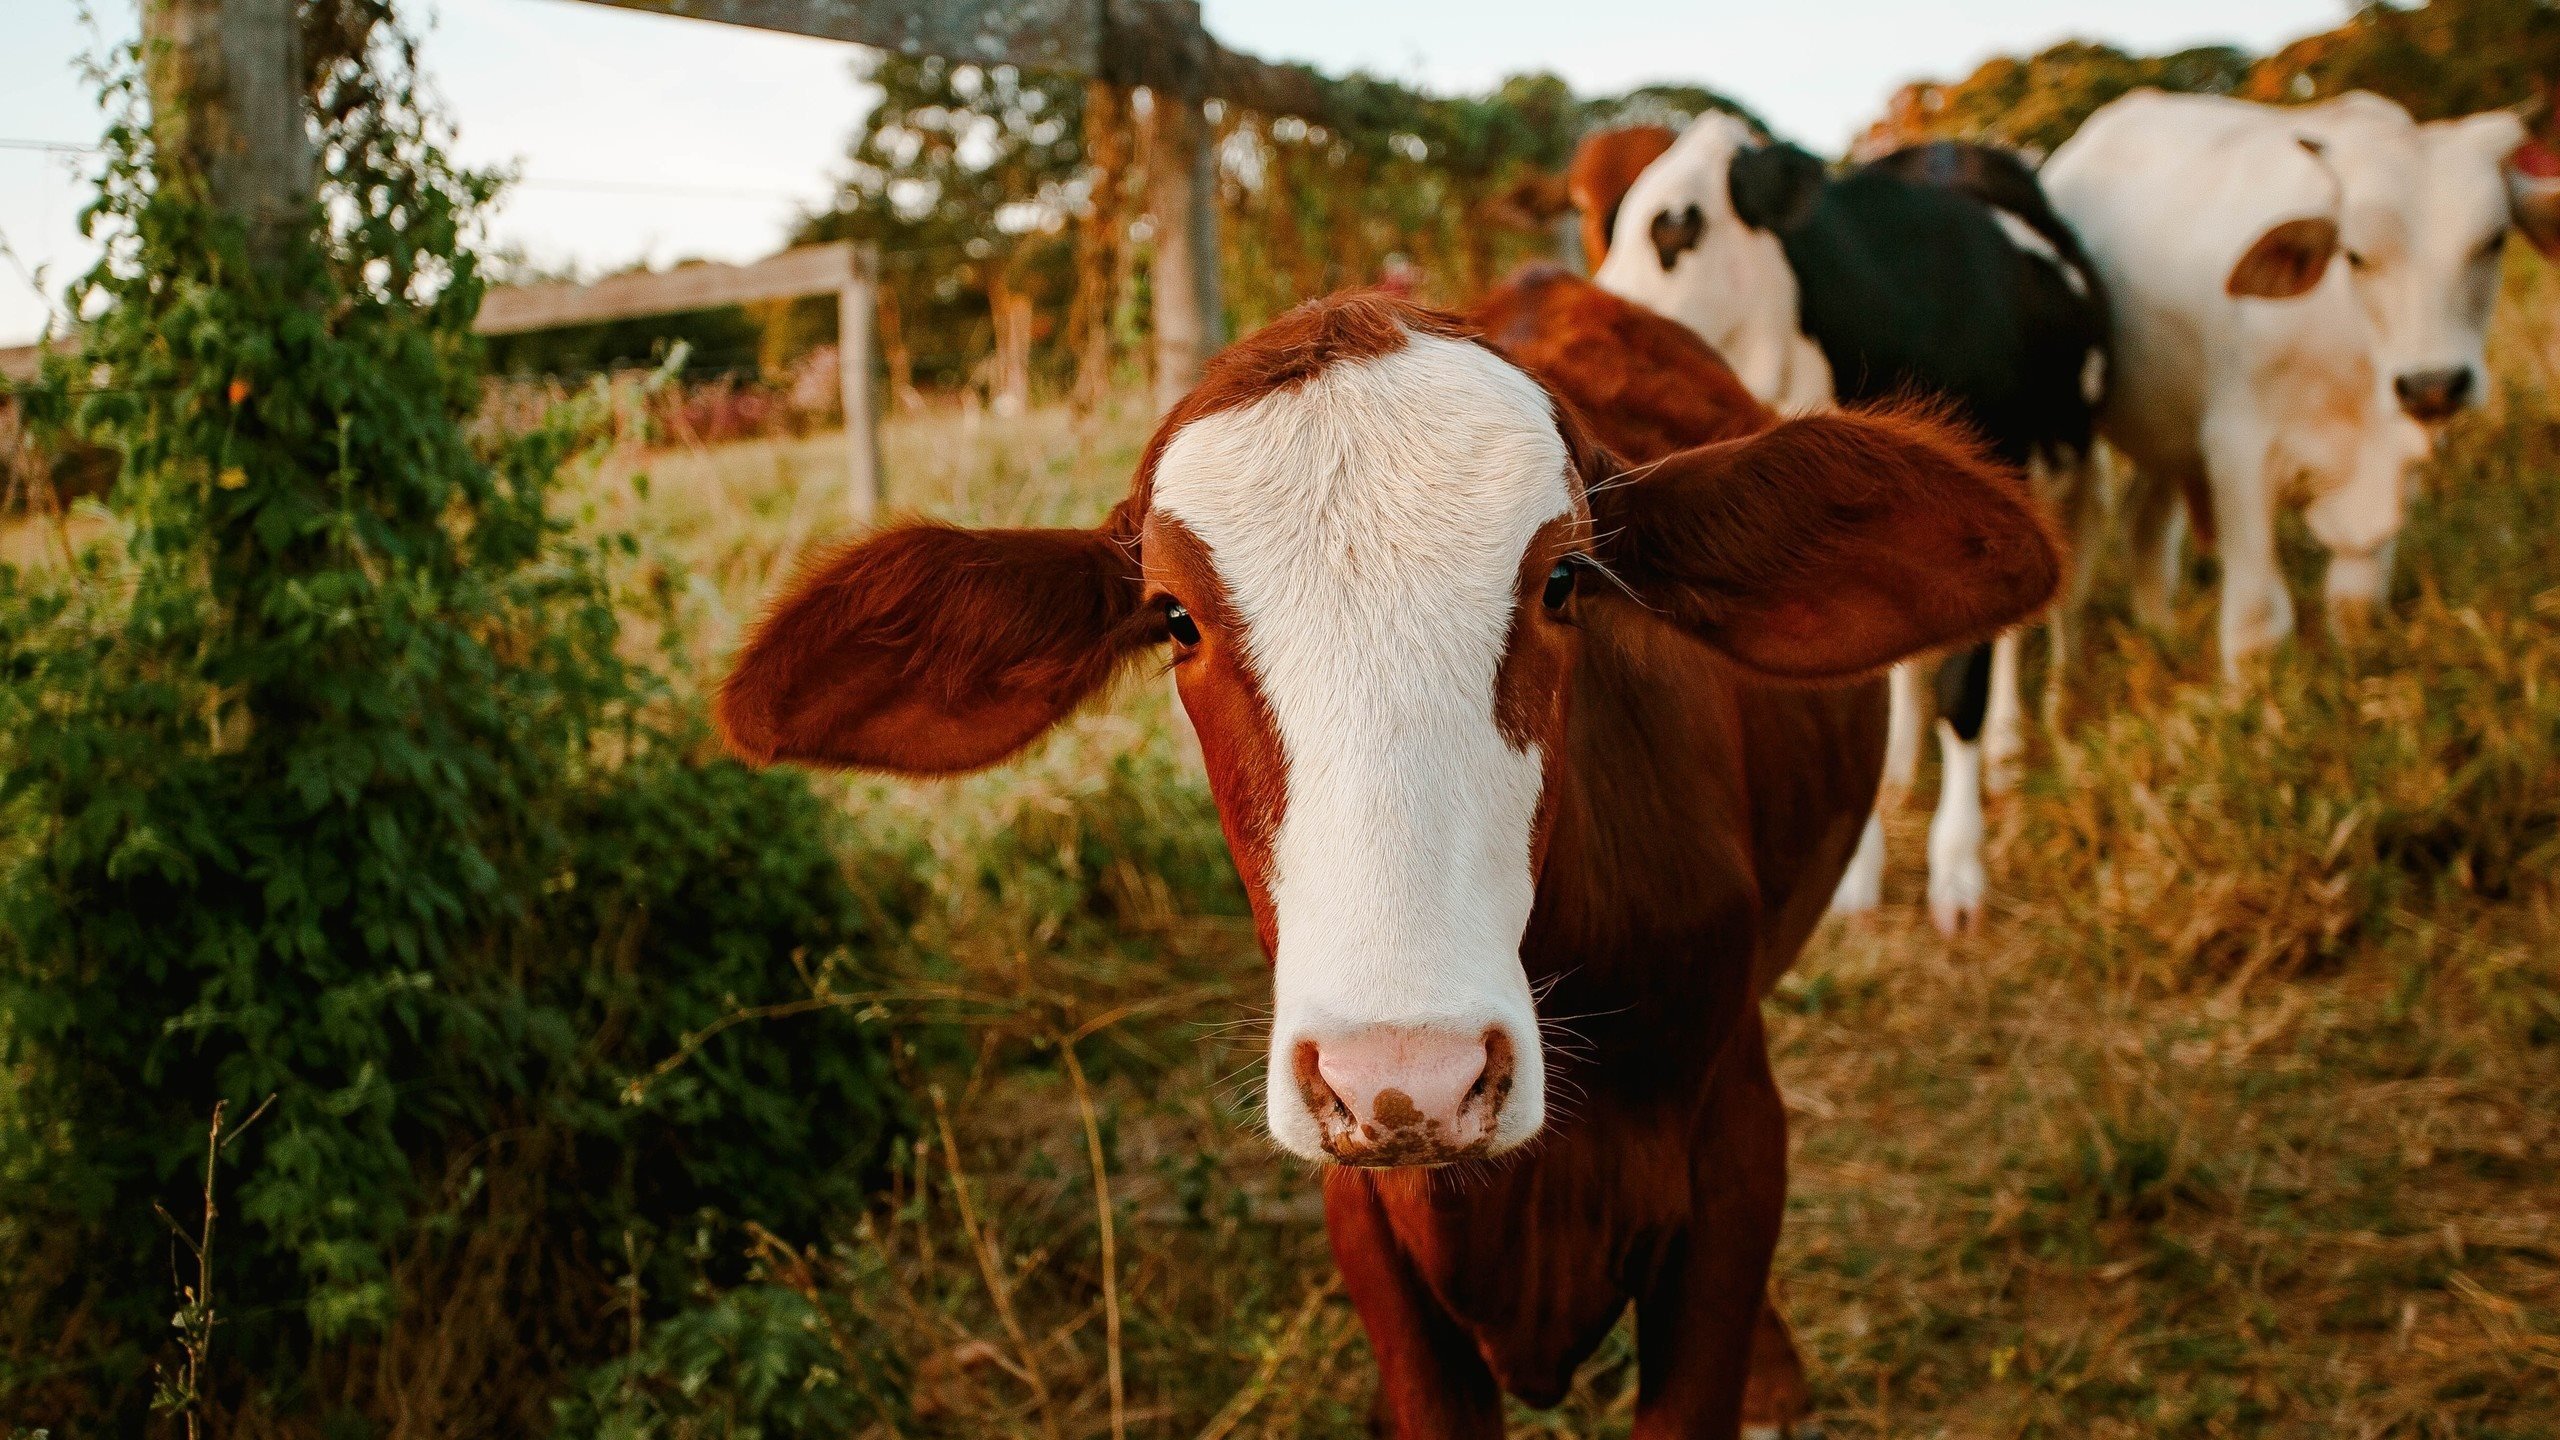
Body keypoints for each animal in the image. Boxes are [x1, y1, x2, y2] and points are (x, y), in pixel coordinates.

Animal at [1587, 117, 2109, 937]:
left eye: (1677, 227)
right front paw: (1859, 872)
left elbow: (1963, 688)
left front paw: (1958, 870)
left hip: (2073, 476)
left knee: (2037, 621)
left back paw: (2008, 744)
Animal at [2037, 92, 2560, 666]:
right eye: (2354, 255)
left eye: (2494, 241)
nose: (2433, 384)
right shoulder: (2237, 449)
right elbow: (2257, 623)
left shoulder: (2393, 455)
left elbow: (2355, 603)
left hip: (2167, 432)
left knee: (2145, 525)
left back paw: (2161, 637)